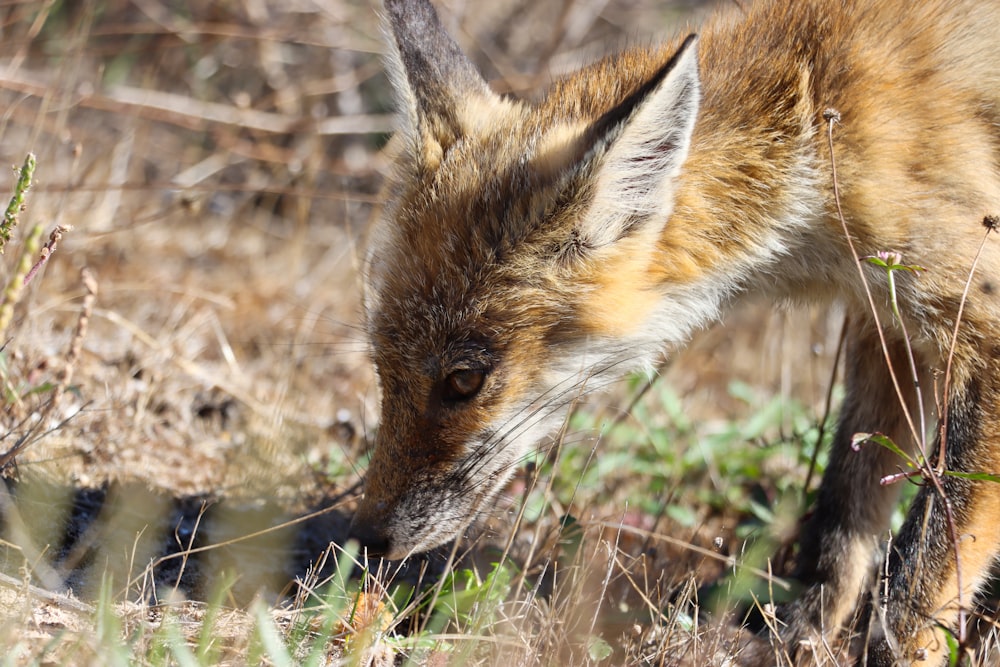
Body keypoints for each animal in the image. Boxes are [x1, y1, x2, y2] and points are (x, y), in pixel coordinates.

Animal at [350, 0, 1000, 664]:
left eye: (464, 380)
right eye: (383, 366)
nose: (363, 538)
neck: (818, 120)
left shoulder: (975, 320)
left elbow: (920, 576)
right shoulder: (885, 319)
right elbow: (845, 512)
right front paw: (800, 632)